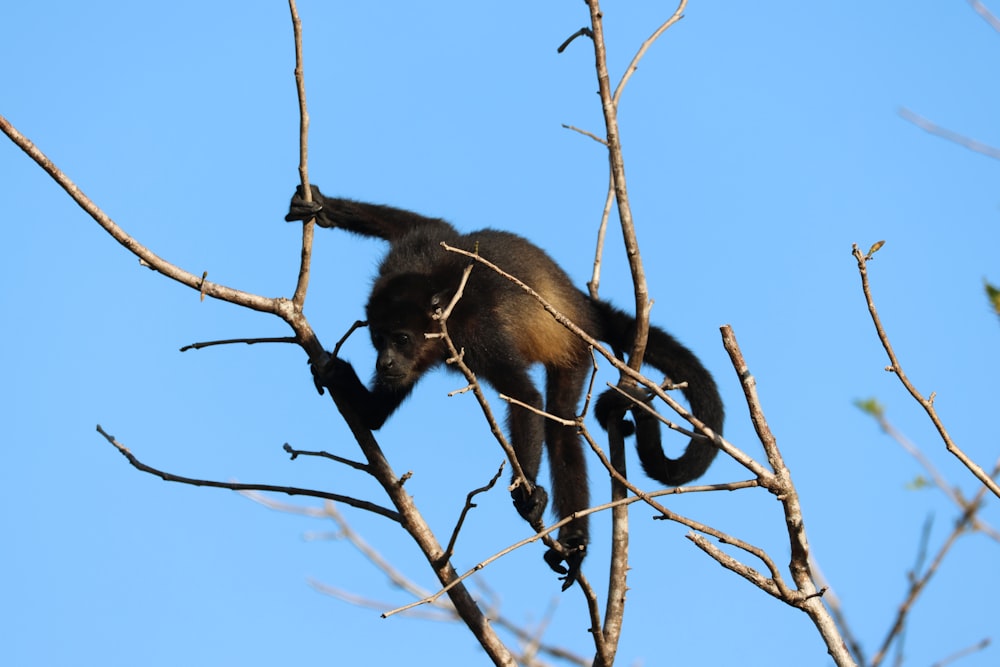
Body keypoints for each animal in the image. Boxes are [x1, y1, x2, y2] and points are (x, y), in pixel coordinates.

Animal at [286, 184, 724, 588]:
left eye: (402, 339)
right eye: (377, 339)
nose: (385, 362)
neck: (441, 309)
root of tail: (583, 306)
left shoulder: (478, 332)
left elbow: (525, 397)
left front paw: (528, 492)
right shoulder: (411, 255)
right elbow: (434, 227)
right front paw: (325, 206)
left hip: (574, 346)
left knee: (560, 421)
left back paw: (574, 540)